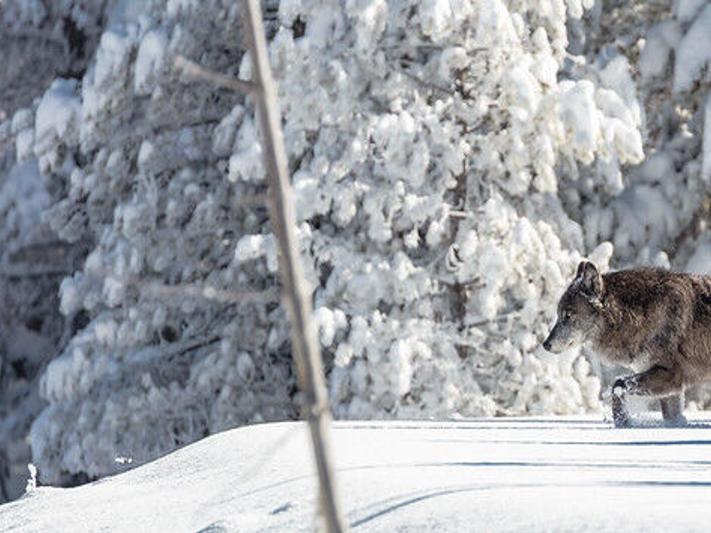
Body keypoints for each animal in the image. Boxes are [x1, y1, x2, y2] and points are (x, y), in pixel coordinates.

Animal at [543, 261, 711, 427]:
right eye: (558, 314)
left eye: (568, 315)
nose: (545, 344)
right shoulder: (672, 388)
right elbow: (672, 418)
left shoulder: (671, 375)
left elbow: (618, 385)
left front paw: (623, 422)